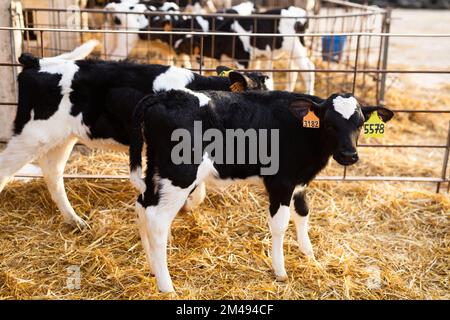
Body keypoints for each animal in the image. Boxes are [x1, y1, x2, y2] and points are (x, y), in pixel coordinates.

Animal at [0, 40, 270, 228]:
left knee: (52, 172)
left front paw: (188, 205)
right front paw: (187, 204)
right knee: (6, 169)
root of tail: (36, 62)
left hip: (62, 137)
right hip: (31, 135)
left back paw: (75, 220)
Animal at [128, 89, 392, 292]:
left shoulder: (299, 183)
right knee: (157, 220)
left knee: (142, 205)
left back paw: (152, 267)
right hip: (180, 174)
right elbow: (280, 224)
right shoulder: (281, 182)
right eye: (328, 123)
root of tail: (164, 95)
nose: (348, 155)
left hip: (156, 168)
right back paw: (166, 286)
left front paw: (309, 254)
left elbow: (303, 212)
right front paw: (280, 270)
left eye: (360, 124)